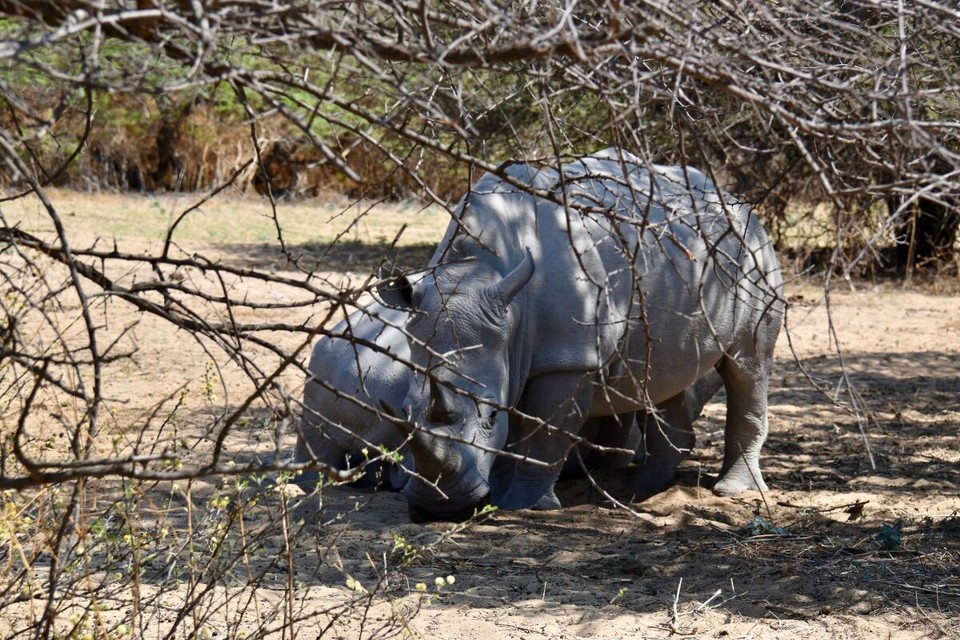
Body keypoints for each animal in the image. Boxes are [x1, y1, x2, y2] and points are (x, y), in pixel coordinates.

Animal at [378, 148, 784, 522]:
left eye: (491, 414)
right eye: (404, 411)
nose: (436, 510)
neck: (483, 273)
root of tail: (741, 207)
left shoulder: (568, 358)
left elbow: (544, 434)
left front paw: (522, 505)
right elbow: (517, 435)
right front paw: (498, 495)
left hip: (756, 256)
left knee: (747, 367)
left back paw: (729, 489)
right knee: (666, 371)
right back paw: (642, 490)